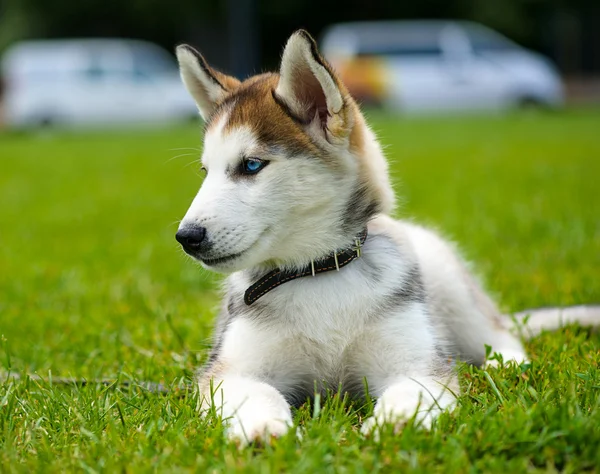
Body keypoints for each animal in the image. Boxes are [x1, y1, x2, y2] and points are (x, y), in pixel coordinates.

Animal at [173, 31, 600, 446]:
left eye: (251, 165)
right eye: (206, 171)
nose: (186, 237)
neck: (320, 272)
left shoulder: (418, 365)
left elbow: (410, 391)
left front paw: (395, 424)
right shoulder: (230, 370)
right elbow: (257, 393)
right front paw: (263, 428)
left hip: (451, 290)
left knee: (498, 334)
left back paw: (505, 363)